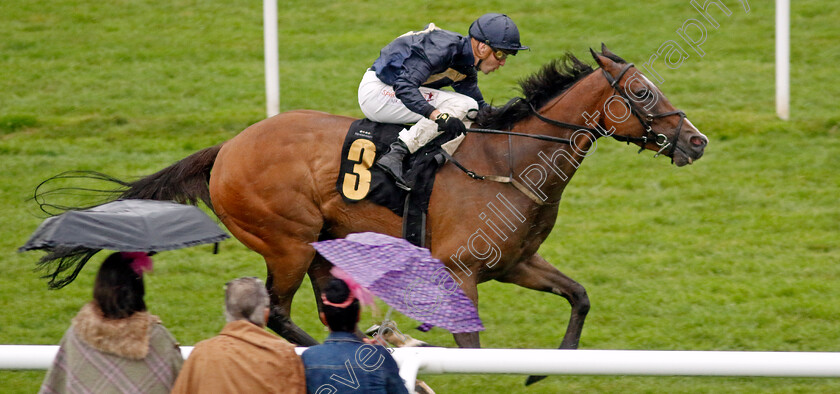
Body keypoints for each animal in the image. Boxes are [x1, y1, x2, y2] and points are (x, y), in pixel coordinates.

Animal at [87, 45, 708, 354]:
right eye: (642, 92)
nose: (696, 141)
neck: (509, 163)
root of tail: (227, 149)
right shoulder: (460, 272)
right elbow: (471, 344)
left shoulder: (516, 263)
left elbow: (578, 297)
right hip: (287, 243)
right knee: (280, 313)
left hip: (324, 243)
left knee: (319, 310)